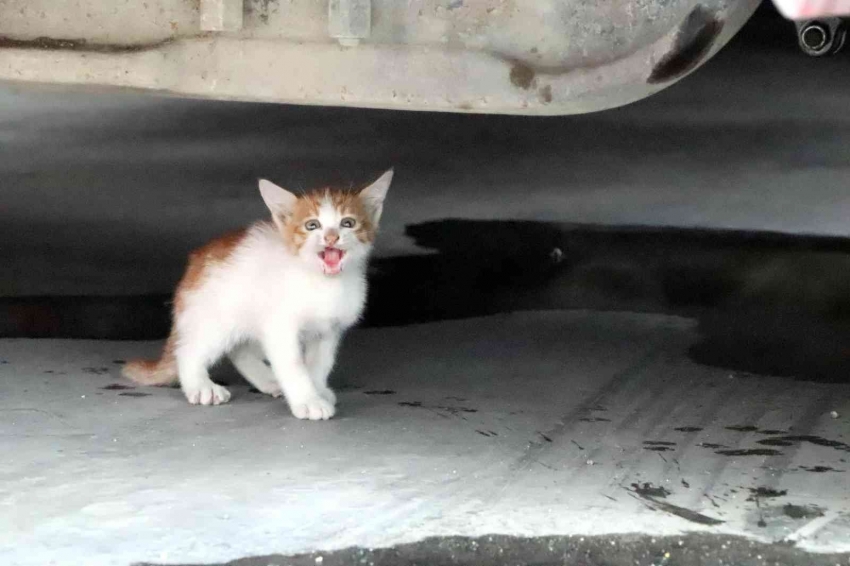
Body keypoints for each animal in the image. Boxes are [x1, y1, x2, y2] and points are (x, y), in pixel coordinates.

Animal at [122, 169, 394, 422]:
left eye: (348, 223)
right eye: (312, 225)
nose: (331, 237)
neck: (324, 284)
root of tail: (194, 267)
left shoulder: (329, 330)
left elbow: (320, 363)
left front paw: (318, 389)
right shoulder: (280, 327)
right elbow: (293, 365)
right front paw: (308, 401)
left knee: (239, 349)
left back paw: (268, 380)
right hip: (217, 316)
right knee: (189, 349)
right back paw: (201, 386)